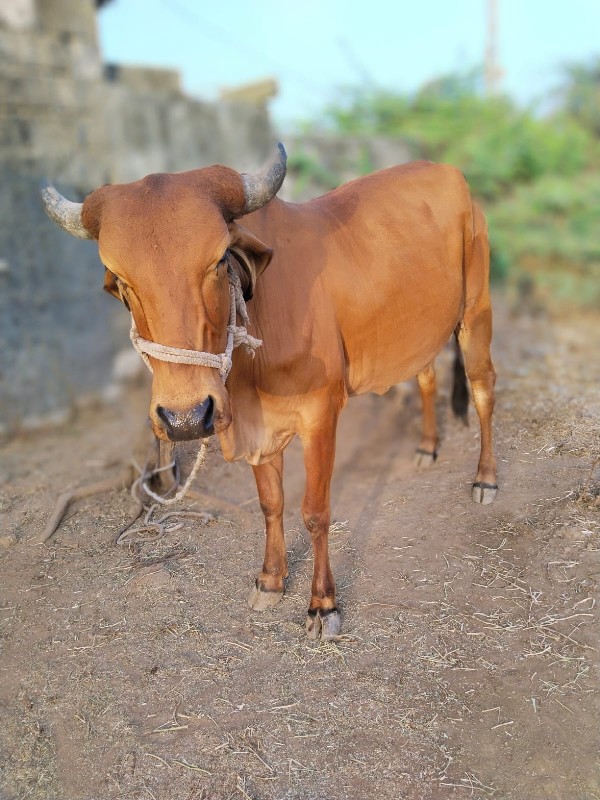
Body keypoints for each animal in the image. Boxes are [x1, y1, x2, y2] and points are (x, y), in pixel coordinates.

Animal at [42, 145, 496, 636]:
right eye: (122, 281)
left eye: (219, 261)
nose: (186, 417)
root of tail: (447, 170)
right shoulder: (257, 428)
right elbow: (270, 503)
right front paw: (271, 580)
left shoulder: (320, 415)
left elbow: (314, 511)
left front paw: (322, 604)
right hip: (418, 330)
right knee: (427, 376)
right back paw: (428, 446)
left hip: (476, 311)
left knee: (483, 389)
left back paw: (485, 478)